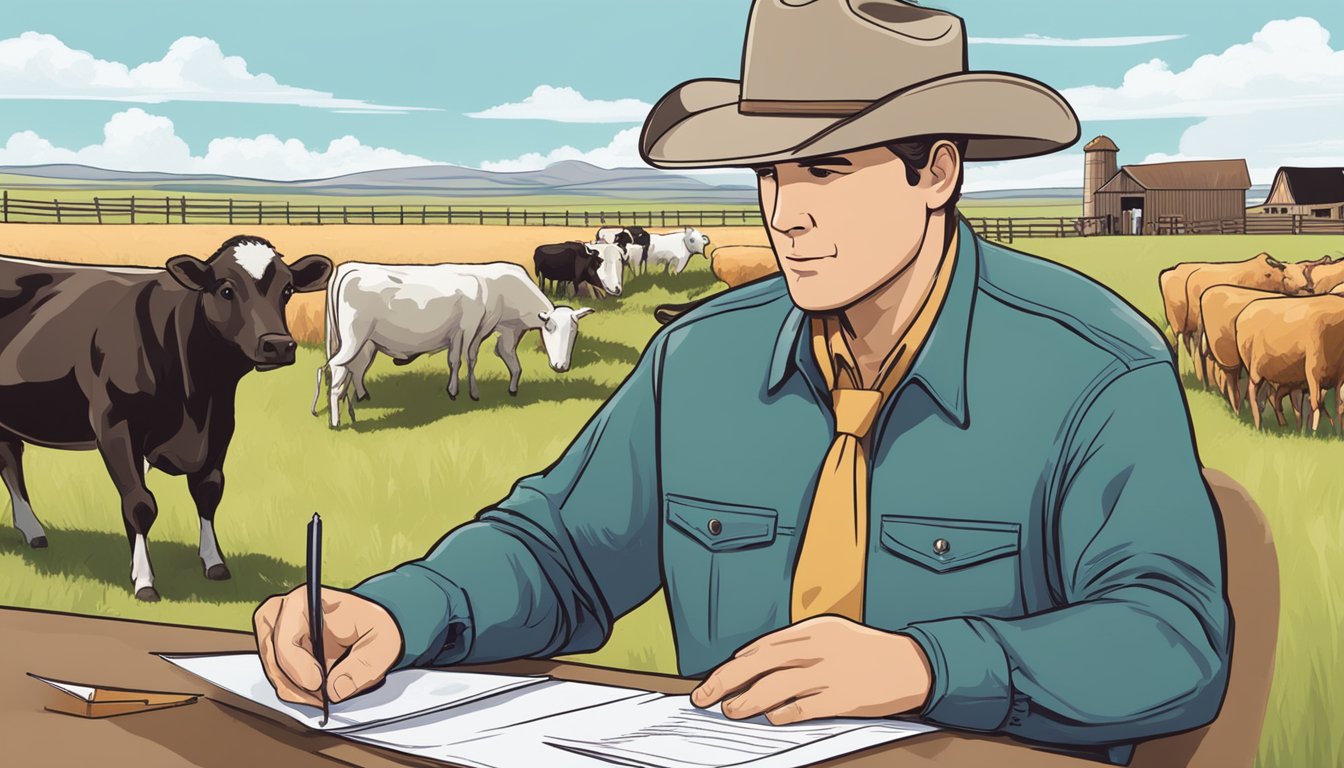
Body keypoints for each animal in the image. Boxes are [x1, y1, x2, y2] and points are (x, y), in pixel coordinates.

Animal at [0, 234, 333, 599]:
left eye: (287, 290)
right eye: (225, 289)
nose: (279, 345)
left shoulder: (219, 427)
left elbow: (208, 492)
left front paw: (214, 563)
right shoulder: (115, 427)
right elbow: (140, 504)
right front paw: (144, 580)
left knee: (9, 459)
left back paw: (33, 531)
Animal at [314, 260, 594, 430]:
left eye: (574, 333)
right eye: (550, 329)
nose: (561, 366)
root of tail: (349, 267)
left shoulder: (487, 331)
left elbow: (490, 359)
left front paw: (508, 388)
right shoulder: (472, 329)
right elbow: (468, 358)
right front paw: (470, 392)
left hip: (363, 342)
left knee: (353, 369)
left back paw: (359, 399)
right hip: (354, 338)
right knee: (337, 369)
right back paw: (336, 421)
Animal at [1231, 294, 1344, 433]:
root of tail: (1242, 314)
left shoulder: (1338, 377)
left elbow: (1337, 406)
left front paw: (1337, 432)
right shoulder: (1313, 371)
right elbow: (1315, 404)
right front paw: (1313, 432)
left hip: (1281, 377)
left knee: (1275, 398)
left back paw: (1285, 426)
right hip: (1254, 368)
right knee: (1252, 393)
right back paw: (1259, 424)